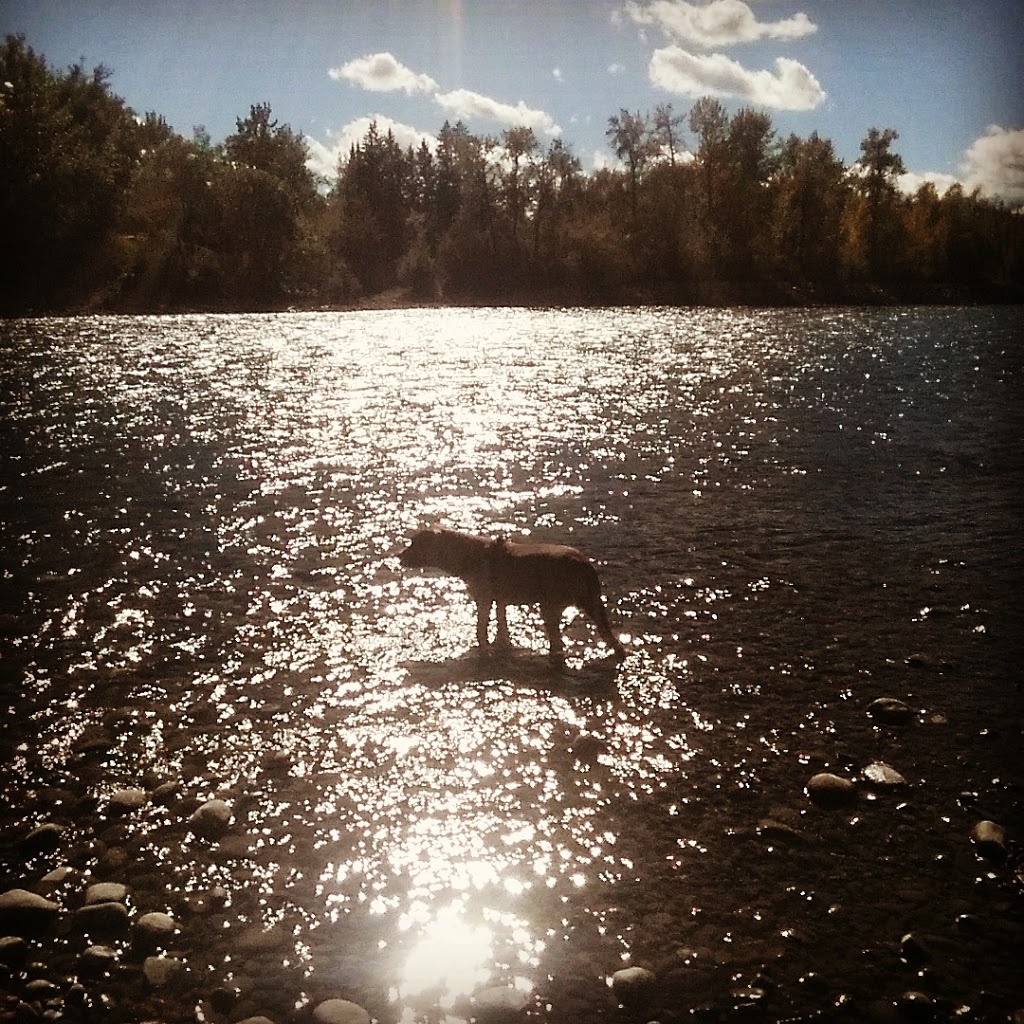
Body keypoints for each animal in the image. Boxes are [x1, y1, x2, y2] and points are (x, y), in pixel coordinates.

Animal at [397, 528, 622, 663]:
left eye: (414, 543)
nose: (398, 556)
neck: (465, 555)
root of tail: (584, 563)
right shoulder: (501, 601)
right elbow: (502, 626)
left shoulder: (484, 599)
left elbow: (481, 628)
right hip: (590, 603)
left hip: (551, 604)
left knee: (558, 641)